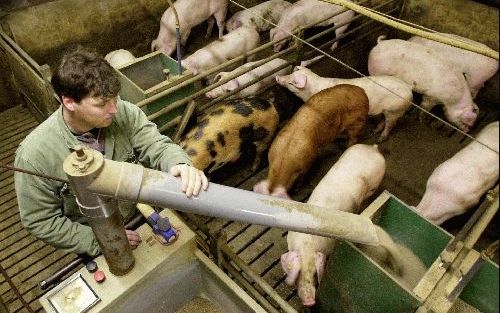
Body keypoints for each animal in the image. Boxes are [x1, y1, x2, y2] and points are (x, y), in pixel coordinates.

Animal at [276, 67, 412, 142]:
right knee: (383, 120)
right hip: (388, 110)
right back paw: (373, 131)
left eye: (292, 82)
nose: (277, 77)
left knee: (390, 125)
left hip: (395, 110)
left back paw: (380, 139)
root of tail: (408, 88)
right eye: (290, 74)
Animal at [280, 145, 384, 306]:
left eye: (315, 274)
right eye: (298, 273)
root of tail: (372, 148)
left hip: (375, 183)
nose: (309, 302)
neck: (307, 245)